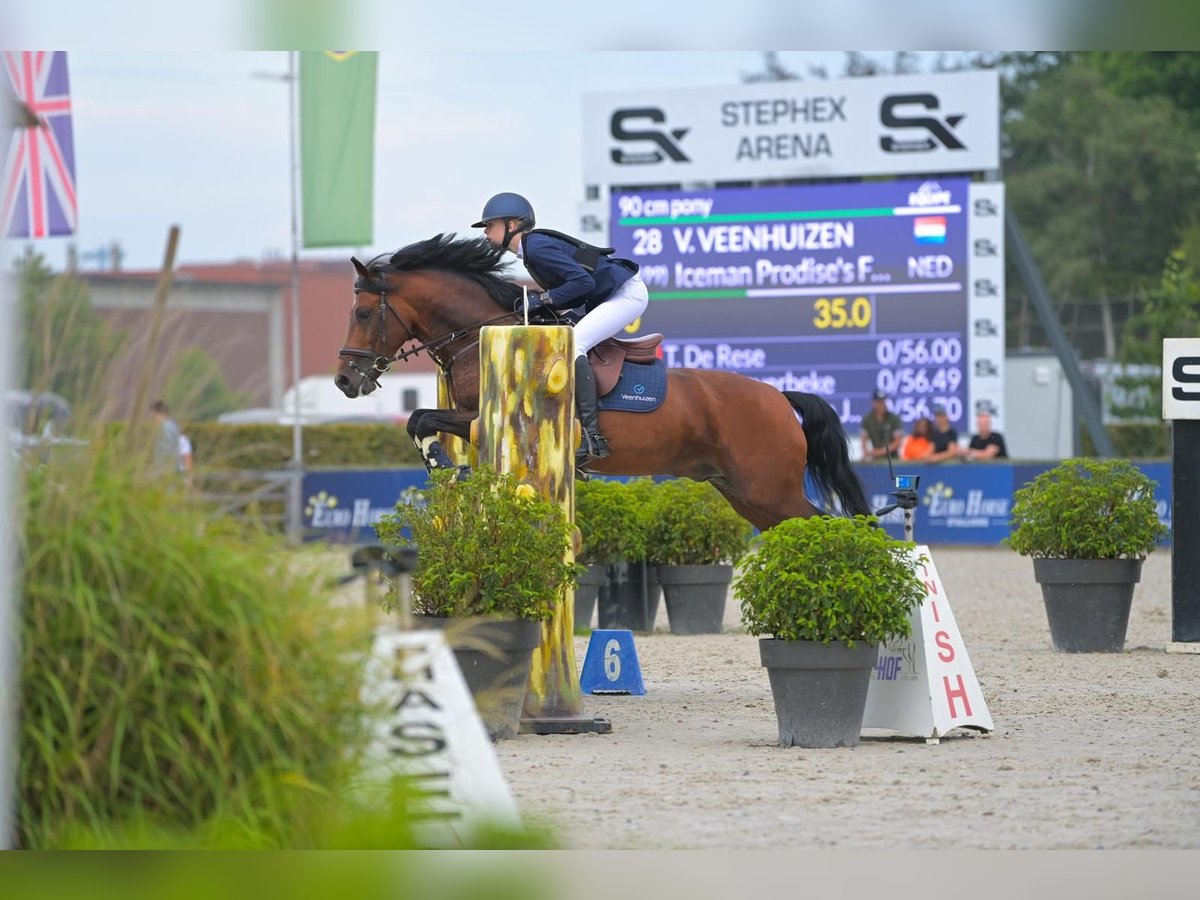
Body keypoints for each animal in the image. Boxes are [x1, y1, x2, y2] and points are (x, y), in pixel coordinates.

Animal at [333, 234, 868, 535]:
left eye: (363, 314)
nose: (344, 380)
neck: (477, 336)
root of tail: (778, 397)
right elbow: (419, 420)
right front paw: (443, 465)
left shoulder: (483, 418)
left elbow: (422, 418)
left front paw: (442, 463)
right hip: (745, 493)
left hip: (767, 489)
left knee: (834, 527)